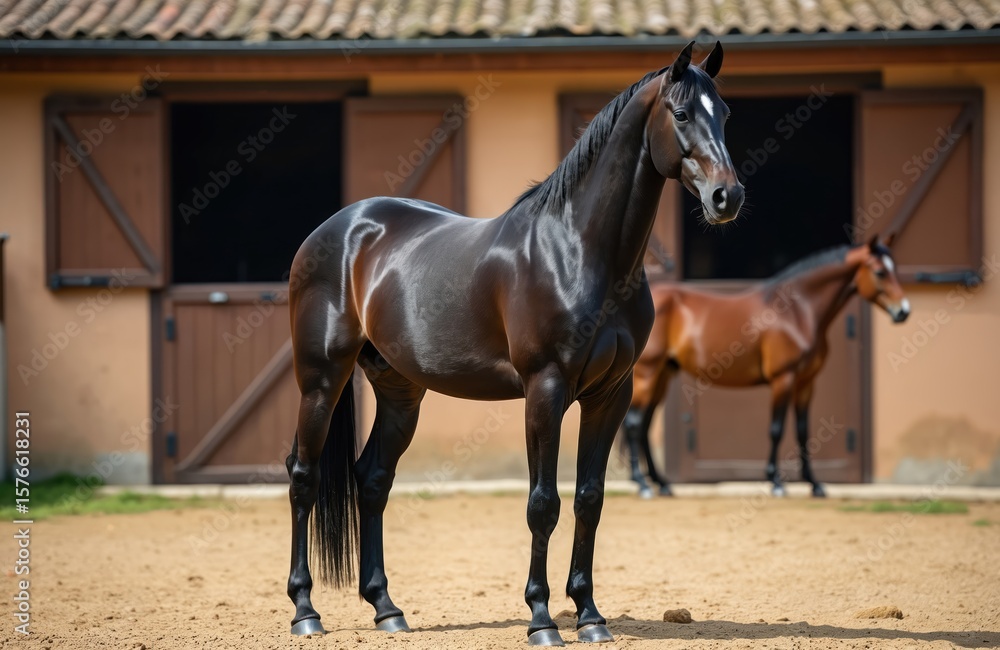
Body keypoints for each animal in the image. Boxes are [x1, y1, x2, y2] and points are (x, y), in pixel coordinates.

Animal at [283, 41, 744, 645]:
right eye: (683, 113)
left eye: (726, 115)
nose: (727, 196)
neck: (578, 249)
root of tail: (340, 227)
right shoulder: (544, 389)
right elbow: (542, 503)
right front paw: (542, 619)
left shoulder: (611, 395)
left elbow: (589, 499)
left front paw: (590, 616)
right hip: (321, 379)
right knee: (304, 477)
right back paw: (305, 611)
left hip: (400, 391)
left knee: (373, 479)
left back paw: (387, 609)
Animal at [623, 235, 909, 499]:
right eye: (880, 272)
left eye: (895, 268)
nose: (903, 311)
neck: (797, 312)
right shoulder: (784, 378)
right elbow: (776, 429)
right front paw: (776, 482)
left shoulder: (807, 382)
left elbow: (803, 431)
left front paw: (814, 484)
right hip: (647, 374)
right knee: (634, 424)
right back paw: (641, 484)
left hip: (663, 374)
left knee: (645, 425)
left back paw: (661, 483)